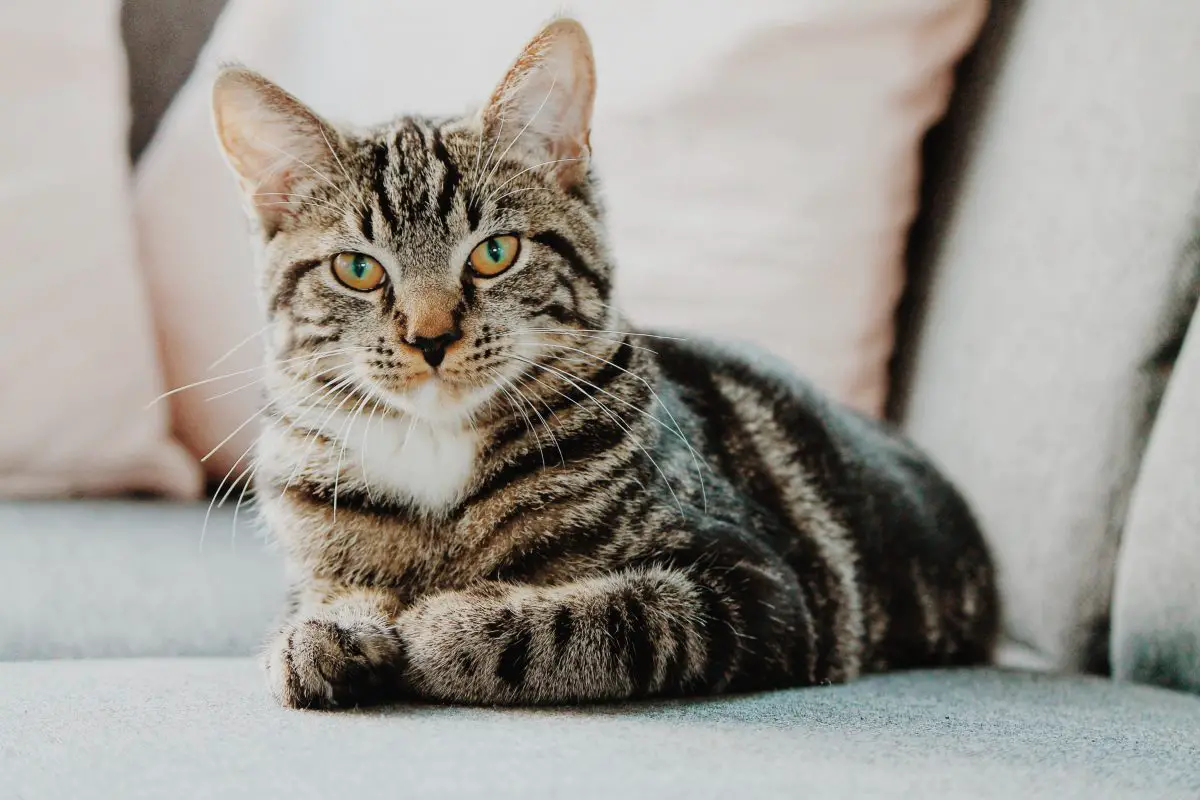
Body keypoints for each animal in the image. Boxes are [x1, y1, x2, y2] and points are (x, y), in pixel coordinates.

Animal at [211, 18, 998, 710]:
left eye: (495, 253)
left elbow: (601, 619)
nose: (430, 338)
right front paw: (324, 630)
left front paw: (444, 625)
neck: (436, 452)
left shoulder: (758, 587)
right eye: (357, 269)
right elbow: (325, 594)